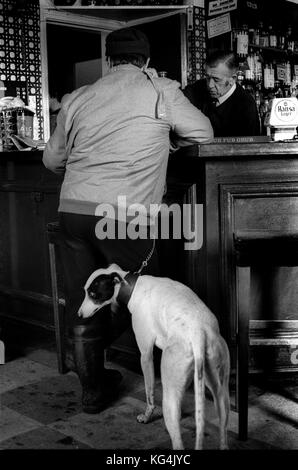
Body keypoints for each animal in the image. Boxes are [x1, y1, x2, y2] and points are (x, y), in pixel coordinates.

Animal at [77, 262, 230, 450]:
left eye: (93, 294)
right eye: (85, 291)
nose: (79, 315)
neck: (134, 287)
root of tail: (198, 335)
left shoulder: (146, 355)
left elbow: (149, 391)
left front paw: (147, 416)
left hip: (169, 393)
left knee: (177, 440)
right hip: (221, 394)